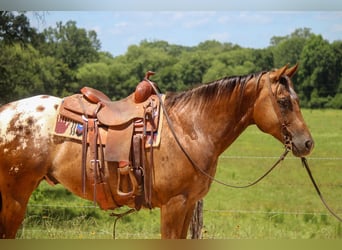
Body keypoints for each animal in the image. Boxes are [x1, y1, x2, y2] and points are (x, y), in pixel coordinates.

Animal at [0, 64, 314, 238]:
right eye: (284, 101)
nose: (307, 143)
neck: (191, 127)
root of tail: (6, 111)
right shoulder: (174, 205)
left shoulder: (188, 205)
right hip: (15, 197)